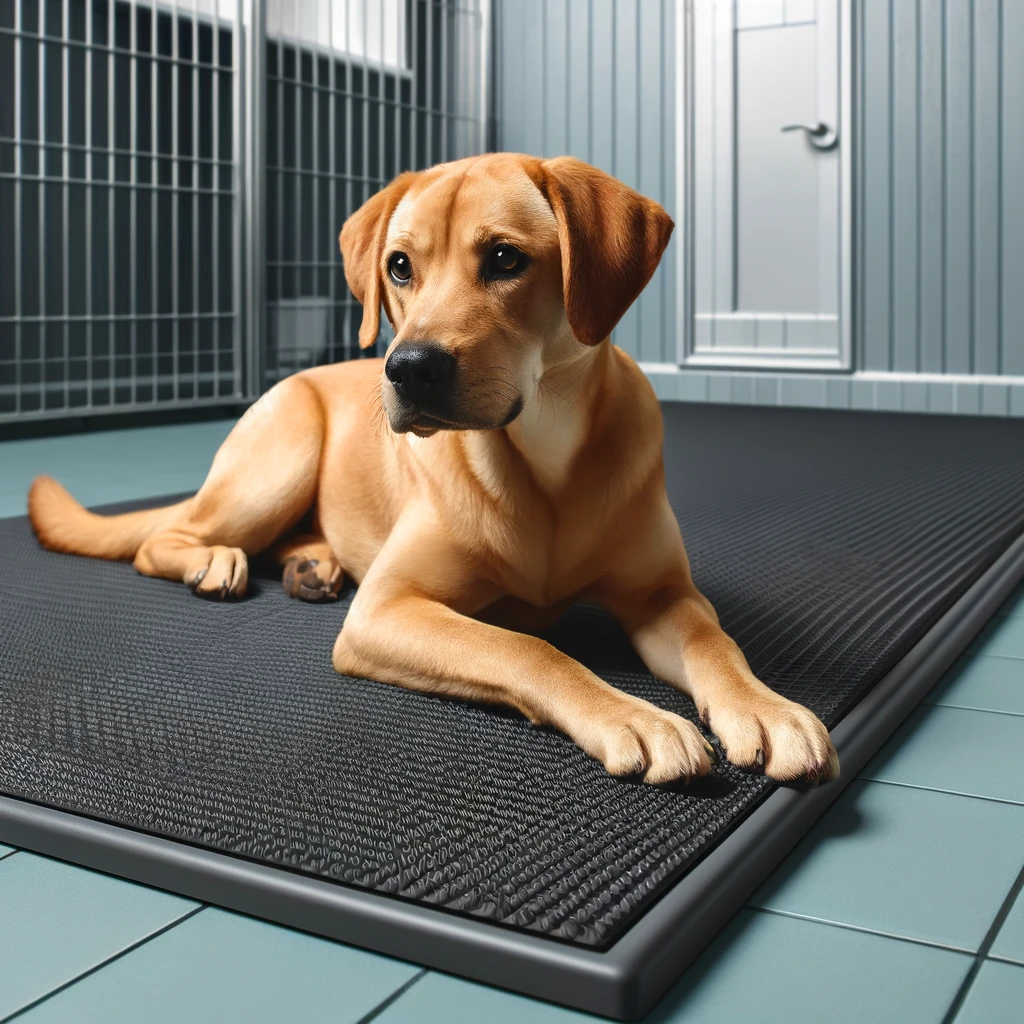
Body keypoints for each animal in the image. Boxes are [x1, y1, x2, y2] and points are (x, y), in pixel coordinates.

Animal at [28, 151, 835, 786]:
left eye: (505, 258)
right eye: (399, 266)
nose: (407, 367)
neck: (543, 457)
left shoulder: (662, 592)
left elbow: (713, 642)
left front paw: (764, 708)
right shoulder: (385, 611)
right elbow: (528, 647)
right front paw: (632, 715)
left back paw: (312, 565)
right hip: (279, 459)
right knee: (162, 539)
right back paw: (218, 560)